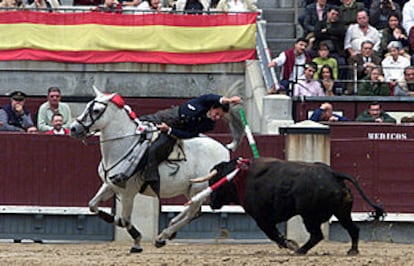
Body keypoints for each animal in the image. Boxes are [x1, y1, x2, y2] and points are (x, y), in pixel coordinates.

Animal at [69, 86, 241, 252]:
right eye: (87, 106)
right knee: (194, 211)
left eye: (96, 111)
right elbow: (93, 205)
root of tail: (225, 150)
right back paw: (170, 229)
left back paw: (162, 236)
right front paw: (115, 220)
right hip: (191, 189)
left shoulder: (128, 191)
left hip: (198, 187)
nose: (73, 128)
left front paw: (137, 242)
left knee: (192, 212)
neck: (125, 144)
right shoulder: (110, 185)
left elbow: (125, 219)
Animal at [207, 157, 384, 255]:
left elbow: (273, 234)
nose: (211, 202)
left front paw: (291, 244)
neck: (240, 178)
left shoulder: (261, 217)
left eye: (213, 181)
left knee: (317, 235)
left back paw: (300, 250)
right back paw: (353, 251)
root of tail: (333, 174)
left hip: (309, 216)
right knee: (353, 229)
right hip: (342, 212)